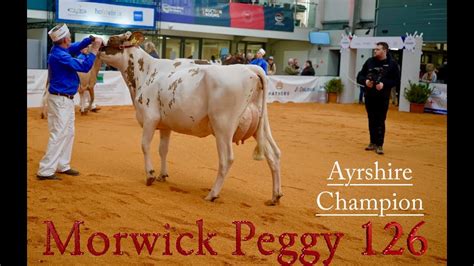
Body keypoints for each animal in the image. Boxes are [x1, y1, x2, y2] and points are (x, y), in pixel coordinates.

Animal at [97, 32, 282, 205]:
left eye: (112, 40)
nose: (97, 47)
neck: (146, 73)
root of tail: (250, 69)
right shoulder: (165, 125)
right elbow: (163, 150)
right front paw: (162, 175)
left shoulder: (150, 118)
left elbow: (145, 146)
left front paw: (150, 175)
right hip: (260, 127)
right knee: (273, 155)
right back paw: (275, 196)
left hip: (223, 126)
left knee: (226, 159)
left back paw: (212, 194)